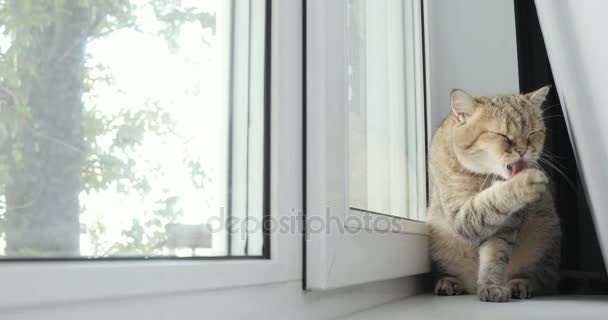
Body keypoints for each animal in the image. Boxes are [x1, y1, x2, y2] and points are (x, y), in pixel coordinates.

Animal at [428, 86, 560, 302]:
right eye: (502, 135)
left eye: (533, 133)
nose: (523, 150)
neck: (484, 176)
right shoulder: (460, 215)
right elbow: (489, 202)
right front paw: (524, 182)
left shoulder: (505, 226)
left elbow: (494, 257)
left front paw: (491, 286)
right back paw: (450, 282)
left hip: (543, 237)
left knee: (540, 278)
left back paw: (520, 284)